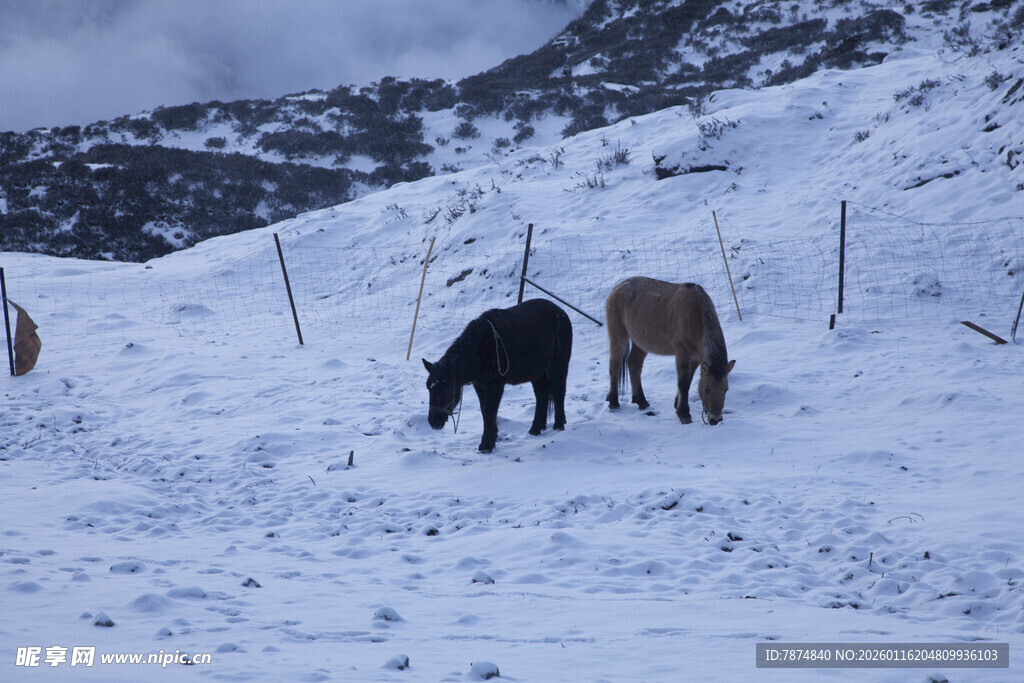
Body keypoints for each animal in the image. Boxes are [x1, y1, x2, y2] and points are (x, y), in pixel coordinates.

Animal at [423, 298, 572, 453]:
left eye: (446, 389)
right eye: (429, 388)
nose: (433, 422)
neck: (483, 347)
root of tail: (561, 312)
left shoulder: (494, 385)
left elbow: (490, 410)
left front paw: (487, 445)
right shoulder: (480, 385)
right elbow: (484, 411)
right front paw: (489, 441)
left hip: (558, 365)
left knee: (559, 391)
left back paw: (558, 425)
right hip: (538, 372)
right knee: (541, 394)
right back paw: (536, 428)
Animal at [604, 276, 735, 425]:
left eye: (726, 389)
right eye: (707, 390)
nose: (715, 420)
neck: (695, 315)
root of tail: (617, 287)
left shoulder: (695, 358)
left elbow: (689, 380)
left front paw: (677, 405)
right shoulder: (682, 354)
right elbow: (683, 383)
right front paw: (684, 413)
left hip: (641, 343)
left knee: (634, 364)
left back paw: (641, 401)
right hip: (619, 337)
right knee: (615, 366)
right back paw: (614, 402)